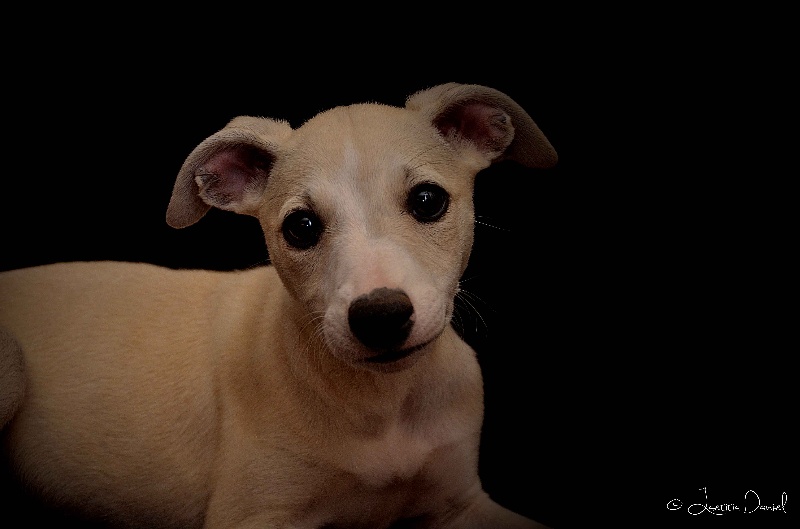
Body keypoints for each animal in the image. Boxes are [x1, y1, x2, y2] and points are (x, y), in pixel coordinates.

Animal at [0, 81, 556, 524]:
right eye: (301, 227)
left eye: (427, 200)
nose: (380, 317)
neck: (381, 402)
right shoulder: (251, 515)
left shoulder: (461, 502)